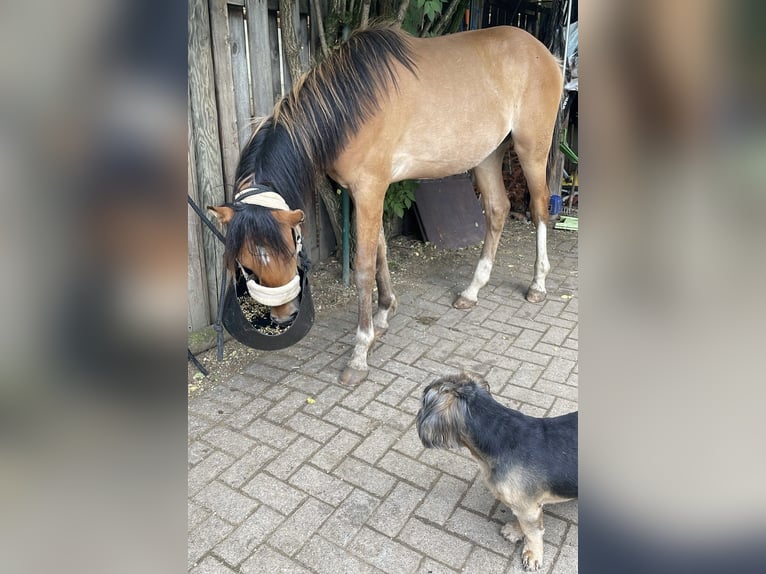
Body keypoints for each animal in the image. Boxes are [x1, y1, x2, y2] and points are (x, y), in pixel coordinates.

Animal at [416, 374, 580, 572]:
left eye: (423, 400)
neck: (502, 437)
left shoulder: (528, 509)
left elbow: (532, 533)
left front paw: (532, 554)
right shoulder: (524, 506)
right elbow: (522, 523)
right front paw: (516, 530)